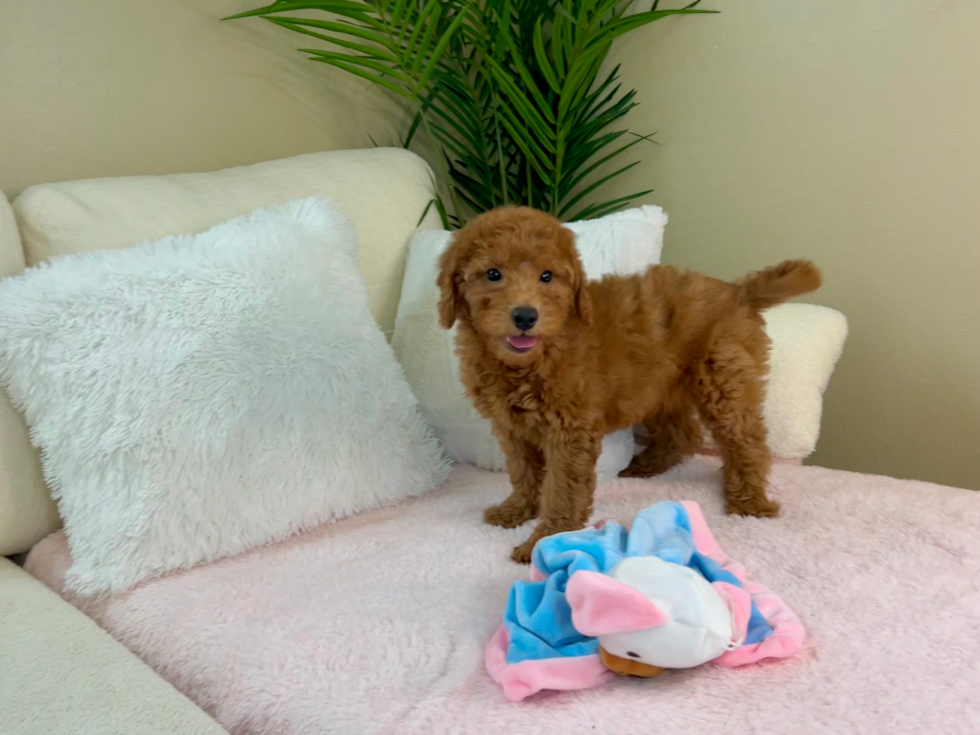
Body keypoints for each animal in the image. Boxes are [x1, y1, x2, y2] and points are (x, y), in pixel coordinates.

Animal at [436, 207, 820, 564]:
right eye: (492, 274)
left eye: (547, 276)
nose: (525, 316)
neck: (528, 360)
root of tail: (738, 291)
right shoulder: (512, 427)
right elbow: (523, 472)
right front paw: (516, 510)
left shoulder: (569, 432)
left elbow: (562, 489)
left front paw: (545, 541)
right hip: (659, 385)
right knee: (684, 433)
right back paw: (645, 466)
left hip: (722, 381)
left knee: (747, 441)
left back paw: (751, 503)